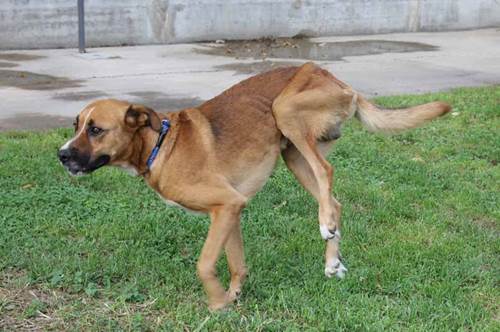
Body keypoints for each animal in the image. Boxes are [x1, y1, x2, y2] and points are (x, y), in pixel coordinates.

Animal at [57, 63, 450, 312]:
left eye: (96, 130)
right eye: (76, 125)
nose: (61, 155)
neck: (159, 145)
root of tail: (334, 77)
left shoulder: (226, 206)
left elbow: (204, 264)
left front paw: (217, 304)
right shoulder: (230, 210)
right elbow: (236, 263)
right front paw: (233, 296)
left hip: (286, 110)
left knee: (327, 172)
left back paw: (324, 224)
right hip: (293, 155)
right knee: (334, 198)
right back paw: (332, 260)